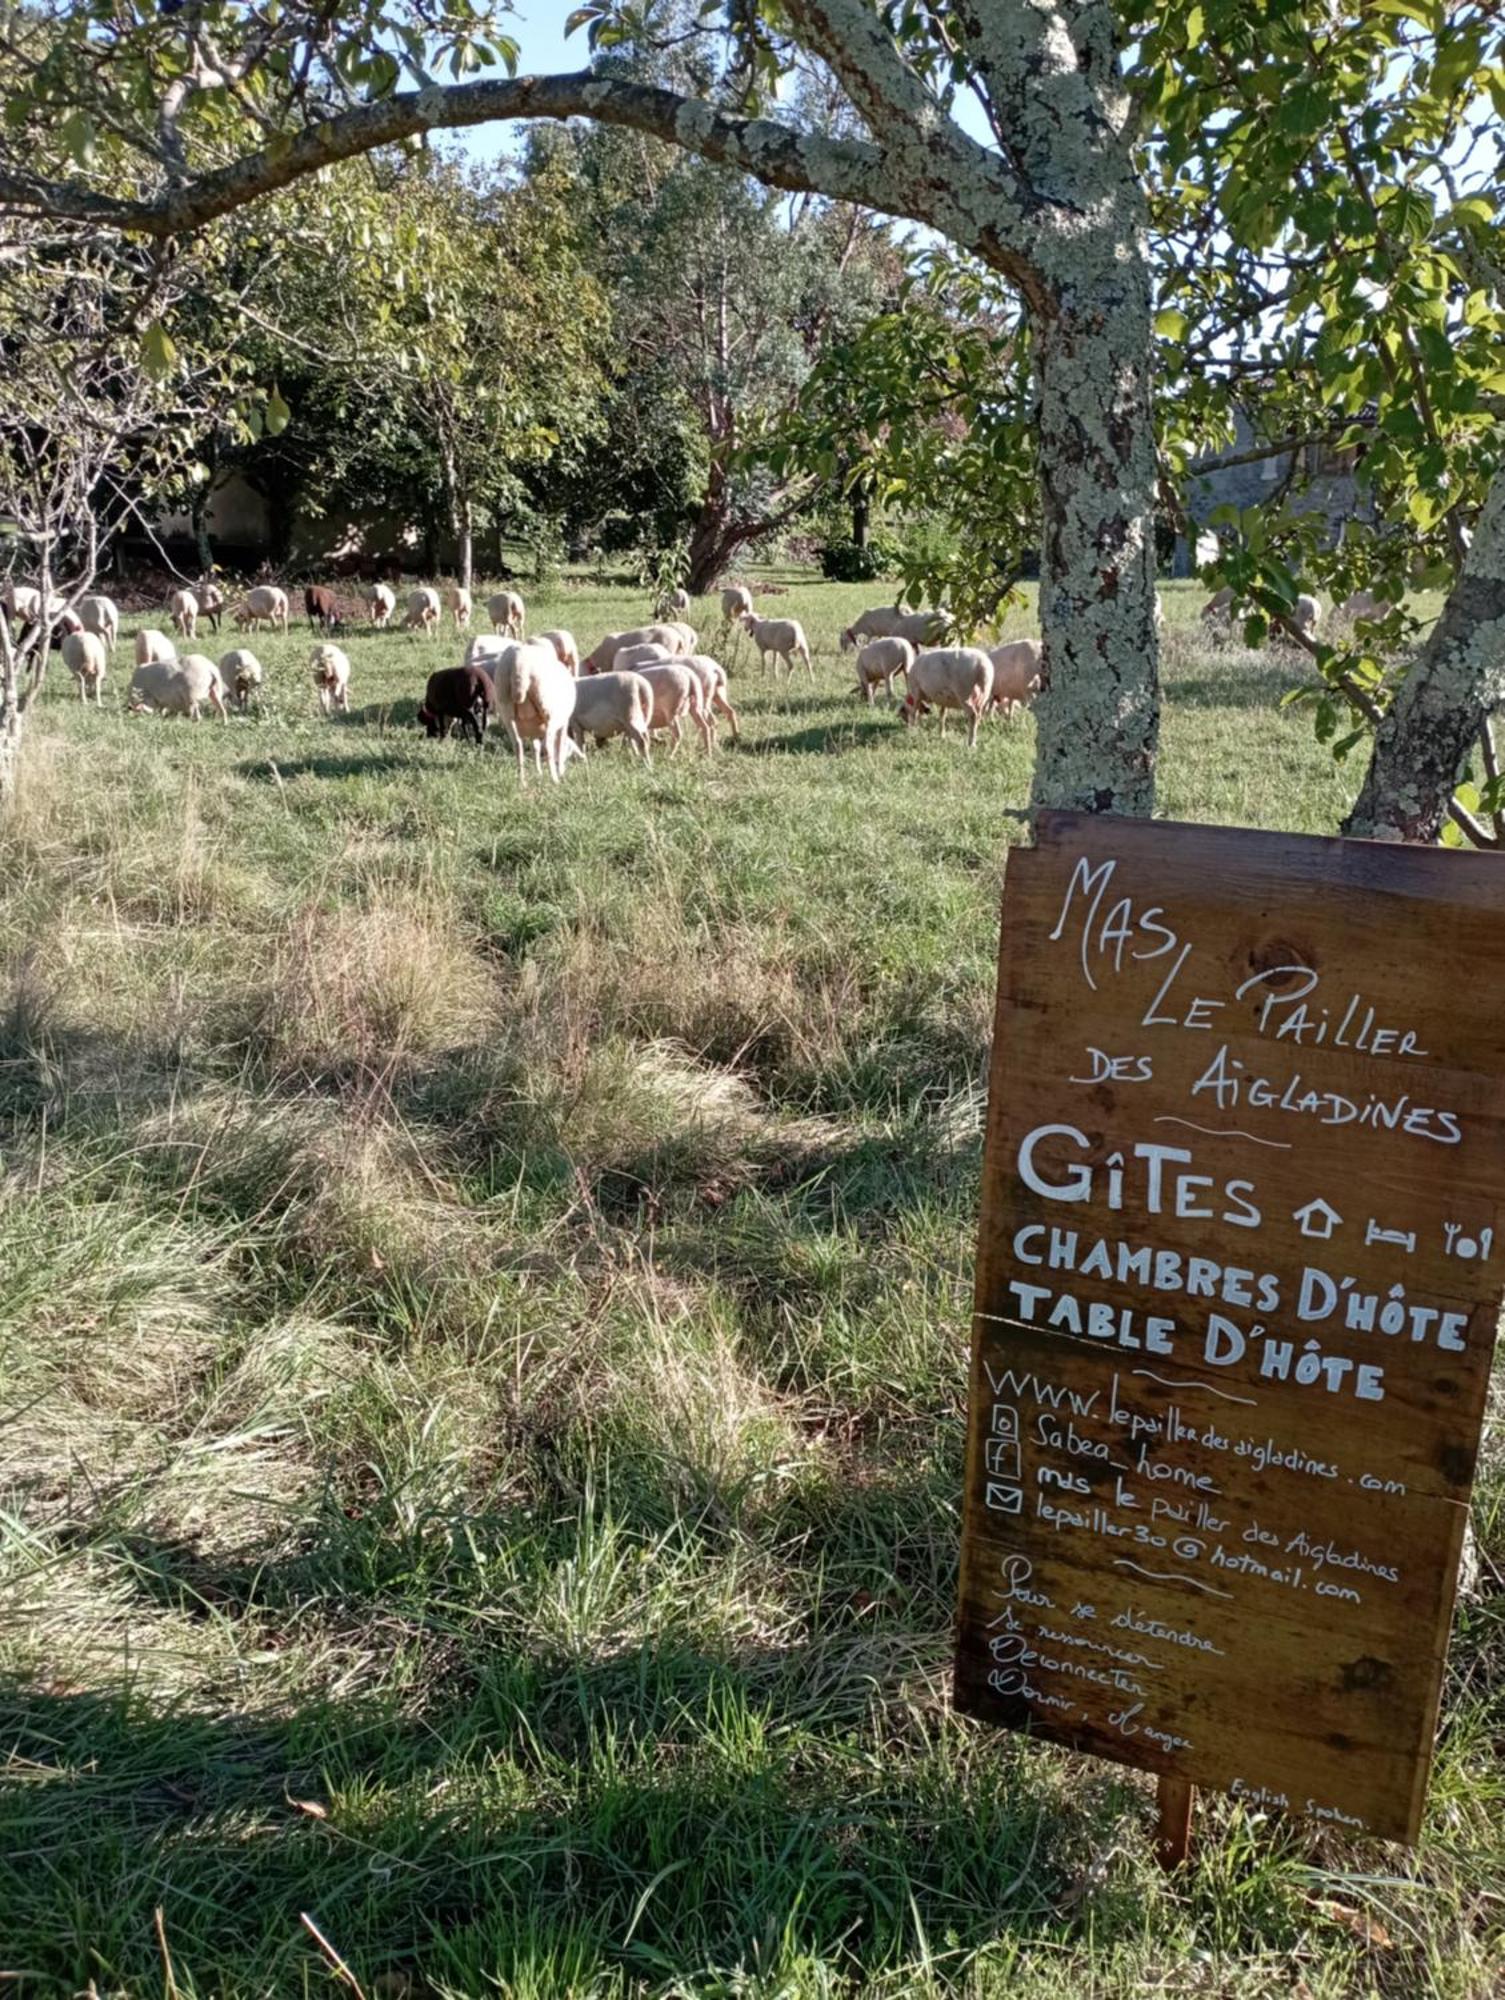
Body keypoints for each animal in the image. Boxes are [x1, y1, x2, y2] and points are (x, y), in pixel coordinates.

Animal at [496, 648, 584, 788]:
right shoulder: (564, 724)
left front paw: (539, 773)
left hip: (506, 711)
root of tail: (519, 663)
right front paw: (561, 772)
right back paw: (554, 779)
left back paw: (522, 782)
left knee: (517, 745)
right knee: (548, 747)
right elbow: (560, 745)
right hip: (548, 711)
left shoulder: (534, 730)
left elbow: (535, 748)